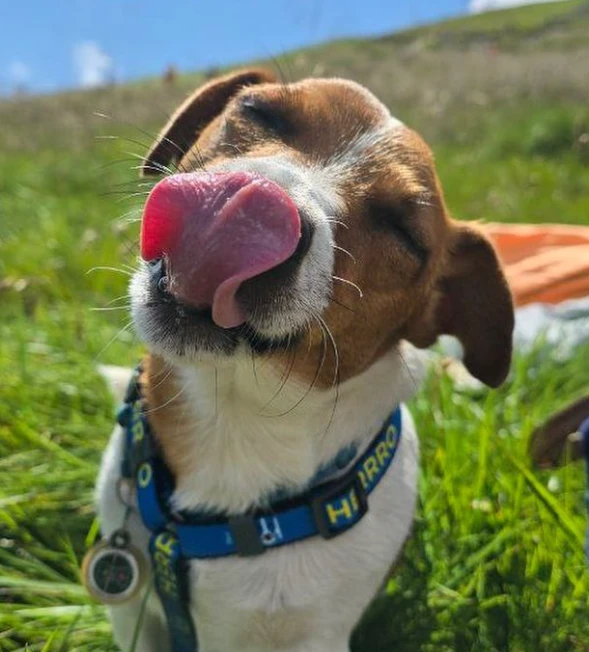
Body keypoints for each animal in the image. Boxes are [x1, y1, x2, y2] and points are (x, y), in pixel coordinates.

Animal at [94, 67, 512, 652]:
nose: (255, 206)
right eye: (258, 111)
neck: (238, 426)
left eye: (404, 233)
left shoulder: (318, 633)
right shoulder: (136, 618)